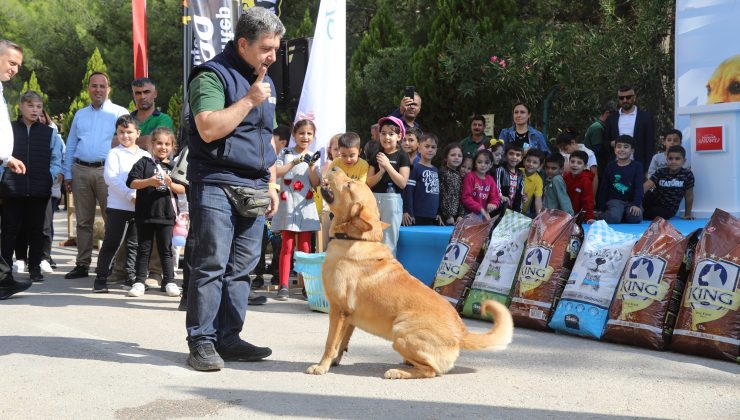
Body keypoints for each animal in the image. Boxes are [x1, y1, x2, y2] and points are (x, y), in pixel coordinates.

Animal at [306, 167, 516, 380]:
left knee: (430, 371)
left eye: (349, 184)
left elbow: (330, 343)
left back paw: (398, 372)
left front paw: (322, 366)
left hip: (400, 331)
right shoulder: (349, 317)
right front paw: (334, 362)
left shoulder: (338, 311)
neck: (356, 239)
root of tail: (461, 332)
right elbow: (342, 343)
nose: (334, 167)